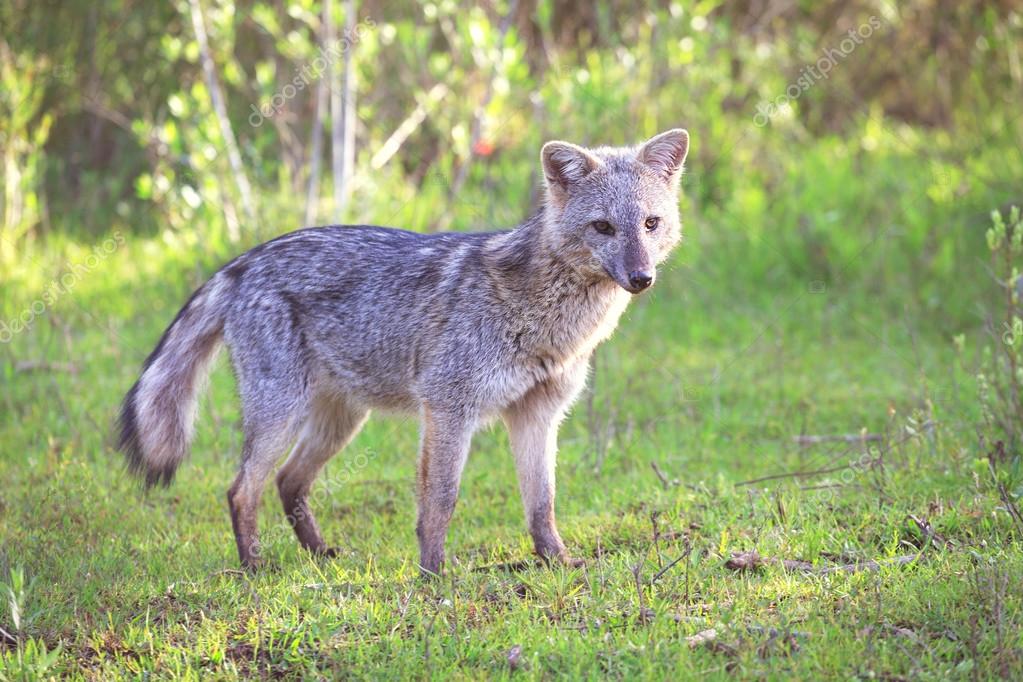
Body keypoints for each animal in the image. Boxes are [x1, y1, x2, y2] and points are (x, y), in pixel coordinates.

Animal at [117, 126, 687, 572]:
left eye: (650, 225)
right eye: (603, 227)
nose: (642, 278)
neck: (545, 318)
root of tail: (245, 260)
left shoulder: (538, 414)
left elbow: (541, 503)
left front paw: (557, 562)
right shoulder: (448, 408)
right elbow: (440, 501)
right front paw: (433, 575)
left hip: (340, 422)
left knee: (288, 481)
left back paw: (319, 556)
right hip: (282, 415)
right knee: (242, 489)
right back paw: (254, 567)